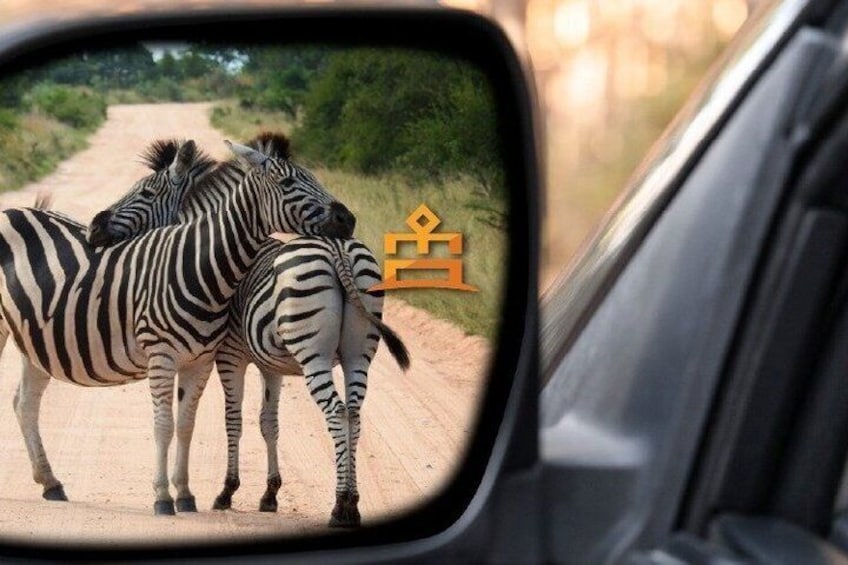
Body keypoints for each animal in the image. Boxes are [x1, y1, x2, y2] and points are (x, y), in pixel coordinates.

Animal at [2, 137, 355, 515]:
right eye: (289, 183)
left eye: (145, 192)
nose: (348, 219)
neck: (196, 267)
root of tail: (12, 210)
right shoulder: (163, 357)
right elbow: (163, 425)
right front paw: (161, 497)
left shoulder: (200, 361)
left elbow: (186, 424)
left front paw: (184, 495)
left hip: (35, 339)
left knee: (25, 403)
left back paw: (51, 483)